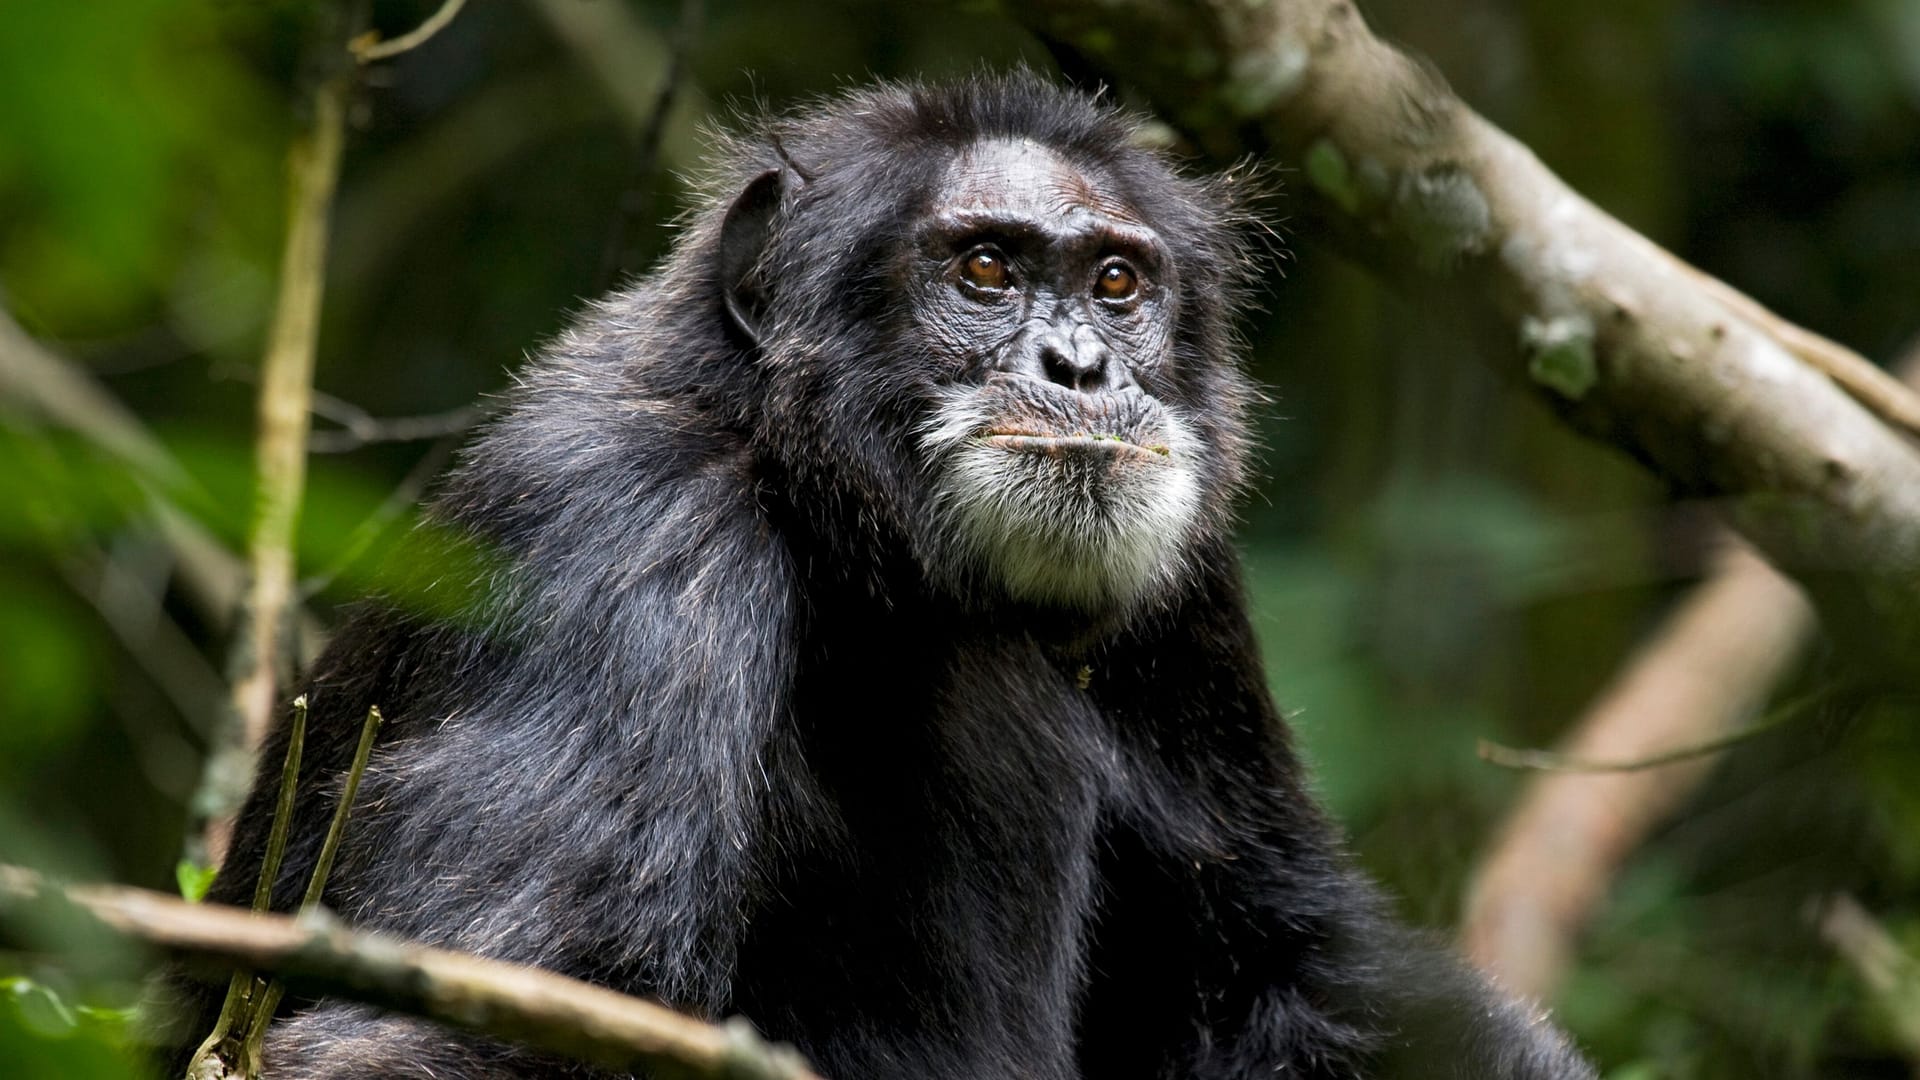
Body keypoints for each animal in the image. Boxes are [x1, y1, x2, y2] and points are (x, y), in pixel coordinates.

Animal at [176, 71, 1589, 1068]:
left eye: (1116, 281)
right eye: (985, 269)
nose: (1083, 364)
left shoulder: (1187, 598)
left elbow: (1283, 963)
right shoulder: (610, 534)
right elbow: (450, 1025)